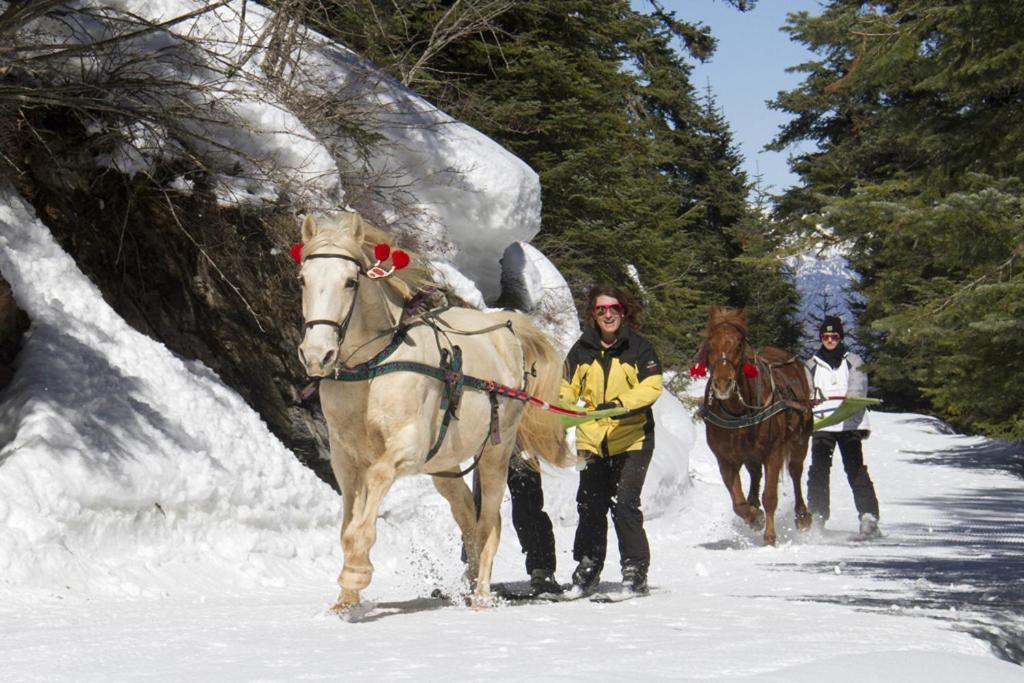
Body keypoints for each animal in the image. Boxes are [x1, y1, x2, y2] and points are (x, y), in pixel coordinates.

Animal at [296, 210, 573, 610]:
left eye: (350, 282)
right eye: (303, 279)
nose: (318, 354)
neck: (372, 368)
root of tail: (507, 328)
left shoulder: (407, 448)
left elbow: (374, 488)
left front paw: (356, 573)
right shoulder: (345, 459)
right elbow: (348, 524)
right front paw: (346, 600)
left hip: (496, 452)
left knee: (490, 522)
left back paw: (481, 593)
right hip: (445, 464)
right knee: (468, 518)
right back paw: (469, 582)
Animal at [700, 305, 811, 544]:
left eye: (739, 344)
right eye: (710, 343)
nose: (723, 383)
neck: (738, 412)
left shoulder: (773, 451)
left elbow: (770, 496)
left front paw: (769, 536)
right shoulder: (725, 459)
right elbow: (738, 503)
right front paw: (754, 516)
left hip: (800, 438)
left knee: (796, 471)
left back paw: (802, 516)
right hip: (750, 454)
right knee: (755, 473)